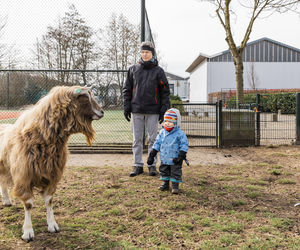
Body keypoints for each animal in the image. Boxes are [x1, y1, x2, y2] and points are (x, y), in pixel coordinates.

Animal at [0, 85, 103, 241]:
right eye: (84, 98)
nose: (102, 112)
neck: (42, 137)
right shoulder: (24, 177)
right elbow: (28, 204)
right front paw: (28, 231)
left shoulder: (51, 175)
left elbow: (49, 201)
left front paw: (52, 225)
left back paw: (6, 200)